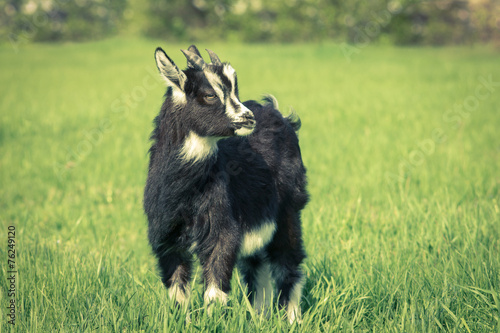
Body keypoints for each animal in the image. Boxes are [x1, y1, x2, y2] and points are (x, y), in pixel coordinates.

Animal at [144, 44, 308, 322]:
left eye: (235, 89)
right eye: (209, 94)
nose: (248, 118)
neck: (184, 190)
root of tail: (276, 111)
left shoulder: (222, 231)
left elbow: (215, 291)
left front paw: (211, 323)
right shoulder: (166, 238)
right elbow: (177, 292)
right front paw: (181, 322)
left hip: (290, 210)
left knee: (288, 263)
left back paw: (292, 318)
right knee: (257, 266)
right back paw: (260, 317)